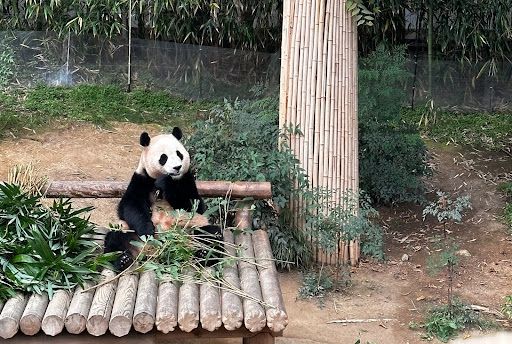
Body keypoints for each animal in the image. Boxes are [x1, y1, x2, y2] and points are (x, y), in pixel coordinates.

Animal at [104, 127, 222, 270]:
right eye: (163, 157)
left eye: (179, 154)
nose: (177, 167)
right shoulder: (141, 178)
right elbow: (130, 206)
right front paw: (147, 231)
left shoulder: (186, 179)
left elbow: (195, 204)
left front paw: (166, 183)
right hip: (127, 230)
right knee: (115, 238)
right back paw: (123, 260)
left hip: (193, 228)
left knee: (212, 234)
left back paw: (204, 254)